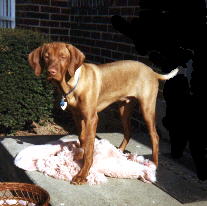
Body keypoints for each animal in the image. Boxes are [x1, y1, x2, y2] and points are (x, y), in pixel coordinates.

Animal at [28, 42, 179, 184]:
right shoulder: (77, 117)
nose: (51, 72)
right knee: (128, 132)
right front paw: (79, 158)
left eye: (63, 57)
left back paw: (154, 164)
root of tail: (152, 72)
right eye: (46, 57)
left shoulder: (92, 118)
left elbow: (89, 147)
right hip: (124, 109)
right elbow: (83, 139)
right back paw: (119, 153)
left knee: (154, 136)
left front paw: (83, 174)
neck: (73, 84)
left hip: (146, 109)